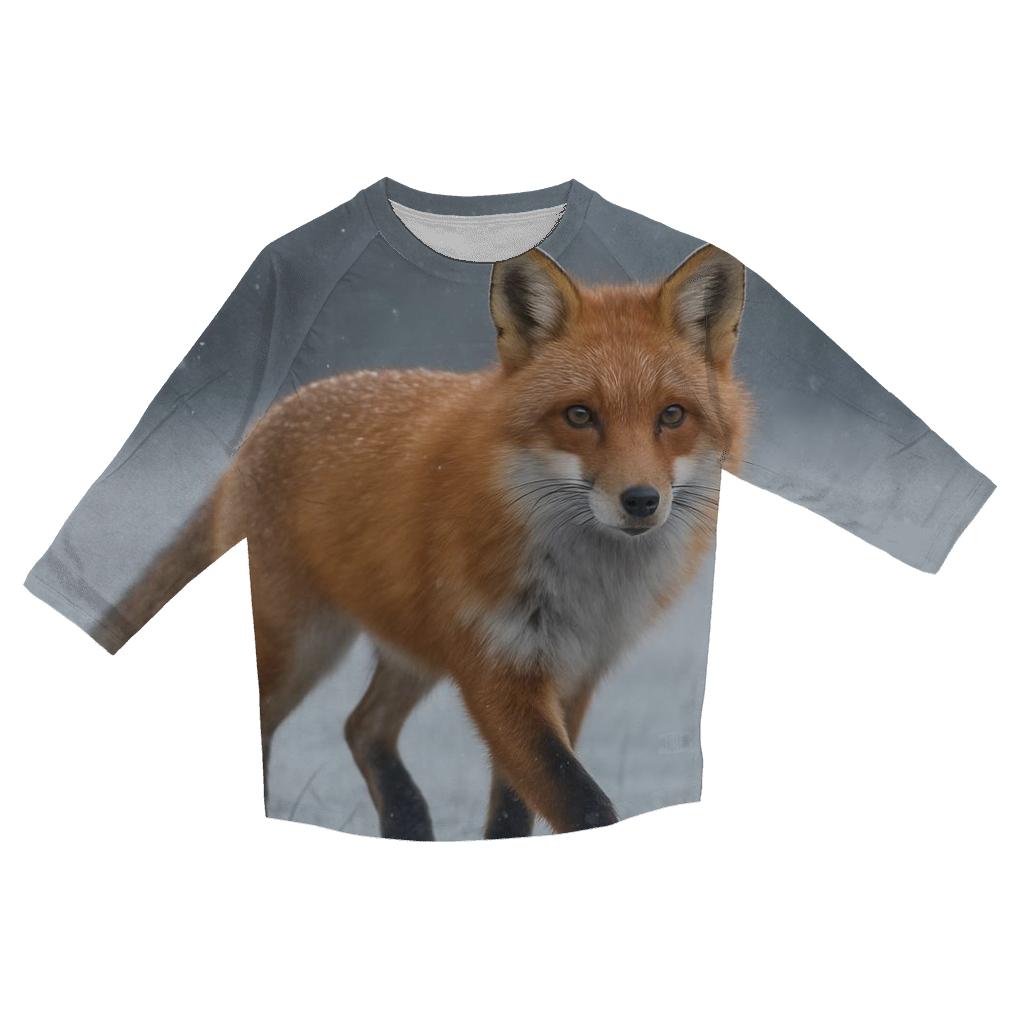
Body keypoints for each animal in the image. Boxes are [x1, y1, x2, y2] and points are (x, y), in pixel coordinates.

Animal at [100, 243, 752, 839]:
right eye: (579, 416)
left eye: (672, 416)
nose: (641, 500)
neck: (588, 585)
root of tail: (268, 421)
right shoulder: (498, 669)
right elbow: (580, 802)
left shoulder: (571, 673)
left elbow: (517, 808)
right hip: (302, 645)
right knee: (277, 726)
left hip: (412, 645)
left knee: (362, 727)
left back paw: (407, 823)